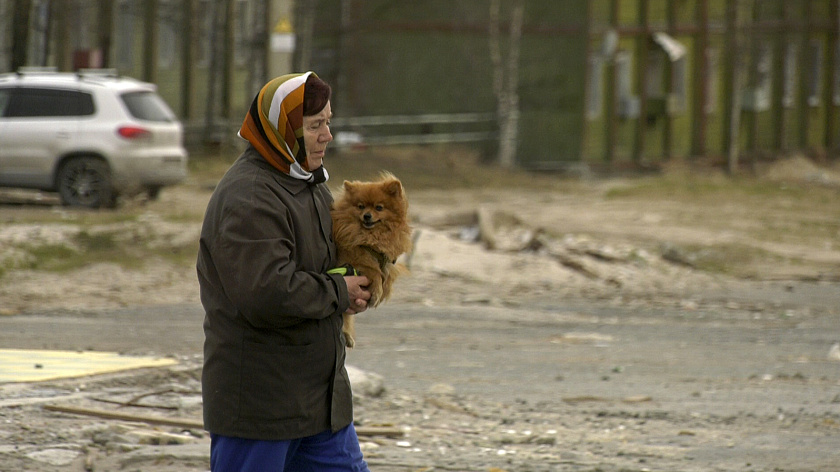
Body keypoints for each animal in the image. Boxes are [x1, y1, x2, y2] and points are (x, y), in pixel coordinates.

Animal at [334, 173, 414, 346]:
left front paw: (382, 291)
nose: (367, 216)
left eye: (379, 207)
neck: (371, 237)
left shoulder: (386, 262)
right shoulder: (352, 261)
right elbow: (375, 272)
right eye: (361, 206)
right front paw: (377, 293)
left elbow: (384, 276)